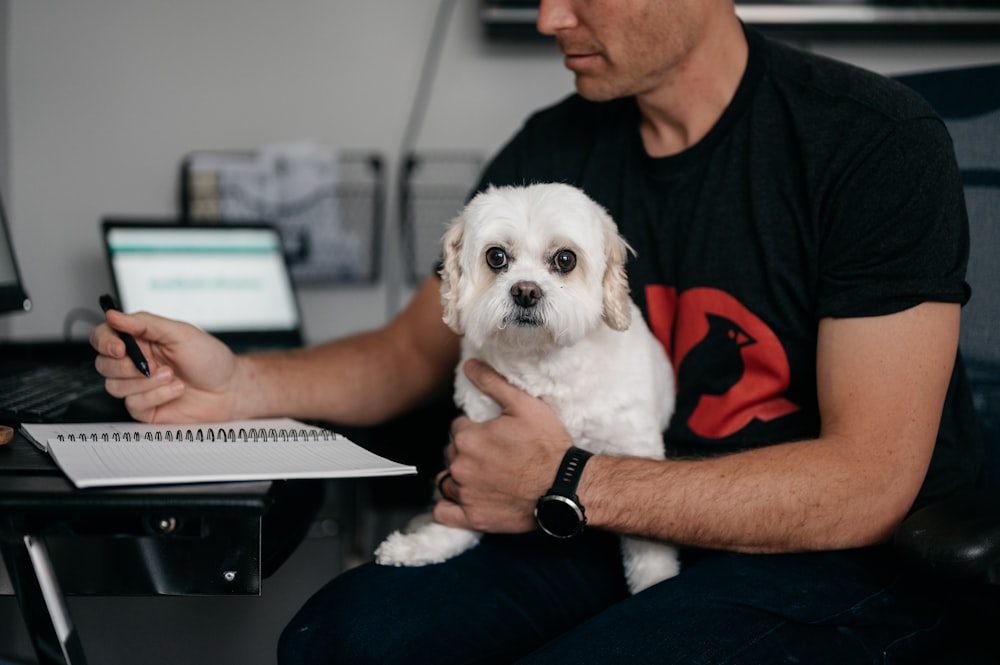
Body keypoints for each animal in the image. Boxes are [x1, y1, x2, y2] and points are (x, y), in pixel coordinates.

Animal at [376, 182, 680, 592]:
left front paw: (657, 582)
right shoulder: (477, 432)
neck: (542, 364)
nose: (525, 291)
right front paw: (429, 544)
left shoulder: (635, 446)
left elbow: (649, 549)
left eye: (565, 259)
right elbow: (460, 513)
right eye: (496, 257)